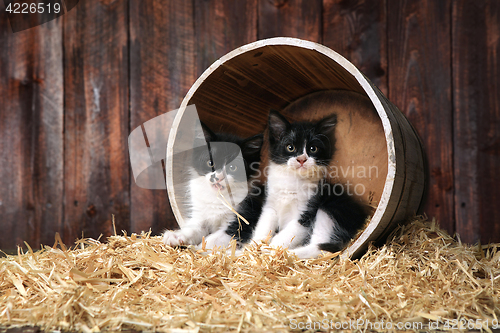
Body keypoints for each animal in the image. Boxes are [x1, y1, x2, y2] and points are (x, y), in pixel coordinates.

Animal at [249, 110, 368, 258]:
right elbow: (263, 227)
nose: (301, 159)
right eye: (290, 147)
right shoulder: (270, 205)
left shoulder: (307, 213)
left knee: (323, 249)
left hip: (331, 210)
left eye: (313, 148)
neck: (292, 180)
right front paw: (248, 249)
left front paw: (272, 250)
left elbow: (286, 235)